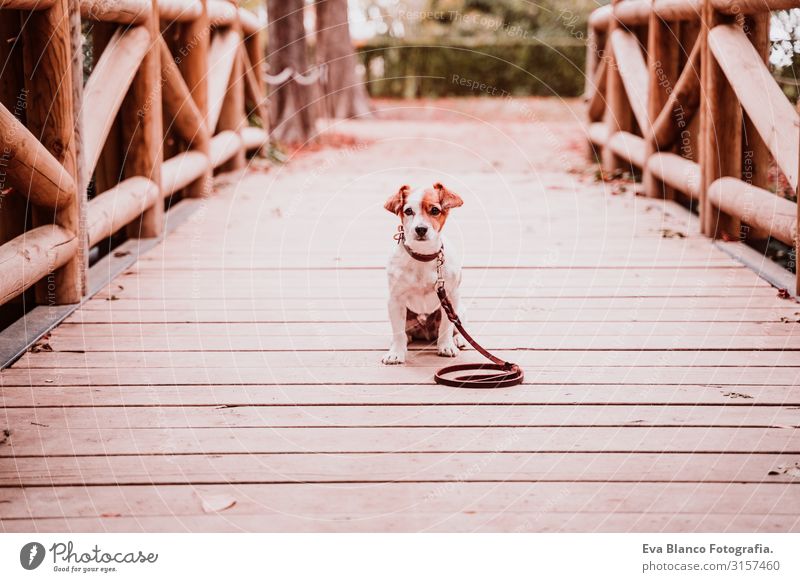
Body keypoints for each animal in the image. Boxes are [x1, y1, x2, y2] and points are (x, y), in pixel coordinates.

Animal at [382, 182, 466, 364]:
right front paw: (396, 352)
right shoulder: (395, 300)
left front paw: (446, 346)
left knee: (456, 326)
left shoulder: (450, 296)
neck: (423, 256)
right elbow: (398, 332)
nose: (420, 229)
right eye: (408, 211)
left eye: (435, 210)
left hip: (459, 309)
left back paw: (458, 339)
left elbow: (447, 326)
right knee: (402, 332)